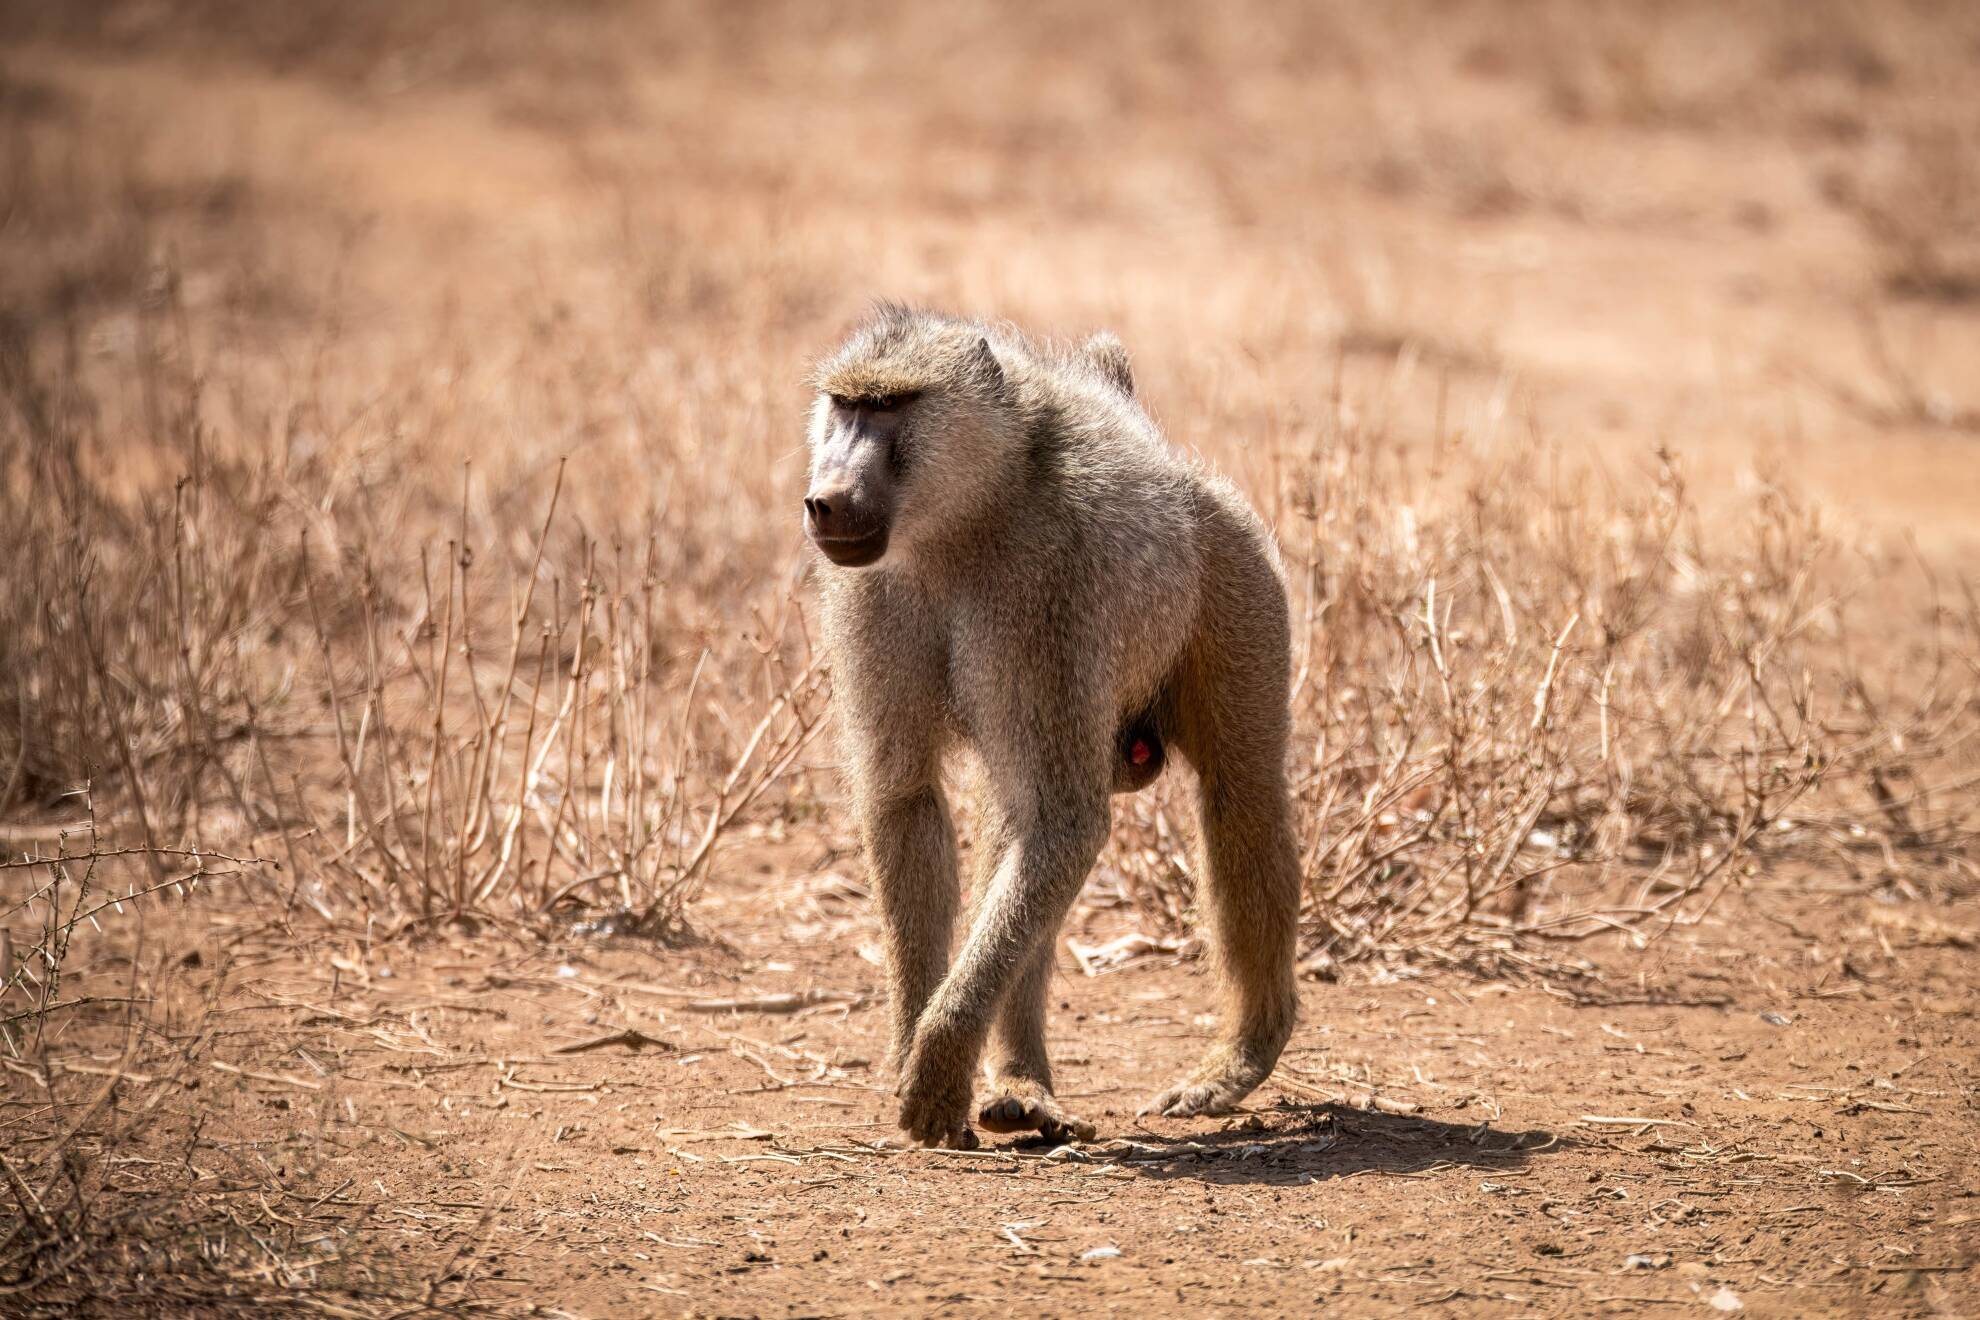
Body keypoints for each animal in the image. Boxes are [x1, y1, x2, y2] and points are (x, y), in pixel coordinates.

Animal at [803, 304, 1300, 1149]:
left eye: (892, 407)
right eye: (845, 406)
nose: (826, 499)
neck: (962, 521)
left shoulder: (1051, 591)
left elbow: (1066, 822)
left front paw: (939, 1056)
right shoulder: (871, 594)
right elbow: (907, 800)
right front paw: (912, 1043)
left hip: (1236, 570)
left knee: (1241, 797)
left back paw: (1240, 1059)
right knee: (1017, 818)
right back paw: (1020, 1086)